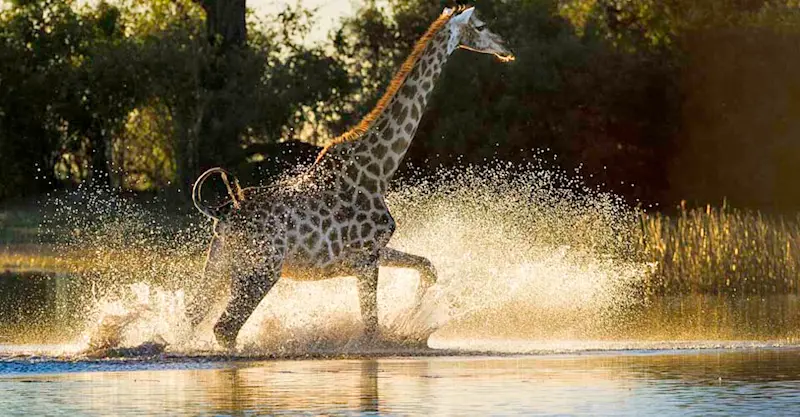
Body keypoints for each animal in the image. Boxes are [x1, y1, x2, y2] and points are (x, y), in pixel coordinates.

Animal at [189, 5, 514, 349]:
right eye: (481, 26)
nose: (506, 48)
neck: (378, 171)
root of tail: (222, 213)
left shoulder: (369, 255)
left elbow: (428, 267)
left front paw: (412, 318)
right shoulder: (367, 258)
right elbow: (371, 329)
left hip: (220, 263)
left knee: (194, 314)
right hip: (262, 269)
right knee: (225, 328)